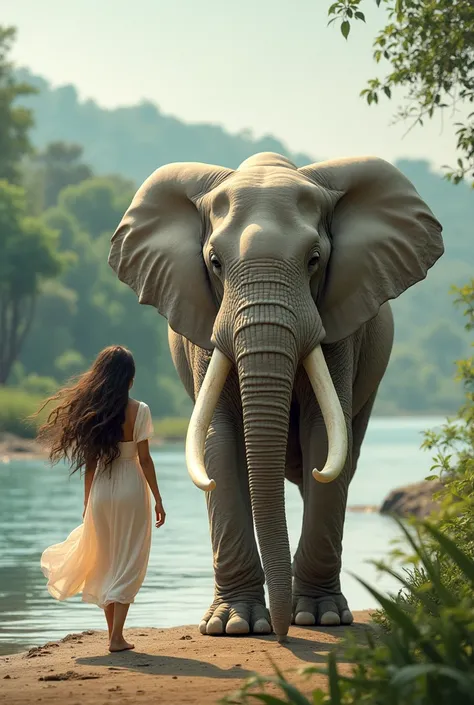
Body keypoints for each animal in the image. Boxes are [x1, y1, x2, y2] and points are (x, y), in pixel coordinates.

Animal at [108, 151, 444, 640]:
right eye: (214, 263)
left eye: (314, 259)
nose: (283, 635)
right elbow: (218, 441)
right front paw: (234, 626)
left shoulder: (340, 329)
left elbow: (324, 432)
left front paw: (320, 618)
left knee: (337, 458)